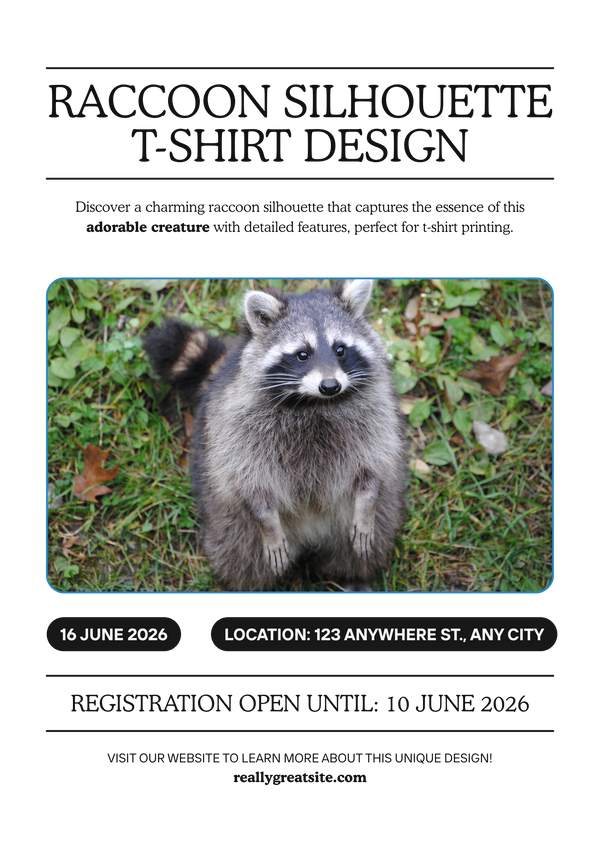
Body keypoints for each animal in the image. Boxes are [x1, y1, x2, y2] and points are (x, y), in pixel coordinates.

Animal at [144, 279, 407, 591]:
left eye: (341, 349)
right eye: (303, 354)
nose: (330, 386)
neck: (314, 403)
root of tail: (310, 536)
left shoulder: (375, 411)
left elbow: (374, 463)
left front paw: (366, 503)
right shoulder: (236, 424)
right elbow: (248, 478)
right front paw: (266, 520)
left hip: (370, 517)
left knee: (362, 545)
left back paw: (354, 574)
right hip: (229, 519)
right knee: (241, 555)